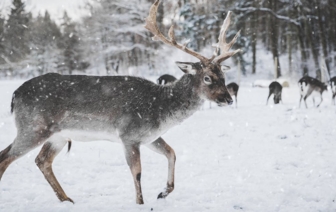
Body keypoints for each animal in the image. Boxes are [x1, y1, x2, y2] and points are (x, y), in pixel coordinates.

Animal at [0, 0, 242, 205]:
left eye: (223, 75)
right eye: (207, 78)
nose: (228, 99)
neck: (161, 109)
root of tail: (15, 95)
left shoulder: (149, 136)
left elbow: (172, 152)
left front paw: (163, 192)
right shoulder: (129, 134)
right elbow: (137, 173)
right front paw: (141, 203)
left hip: (58, 135)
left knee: (42, 160)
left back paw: (67, 200)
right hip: (33, 127)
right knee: (6, 157)